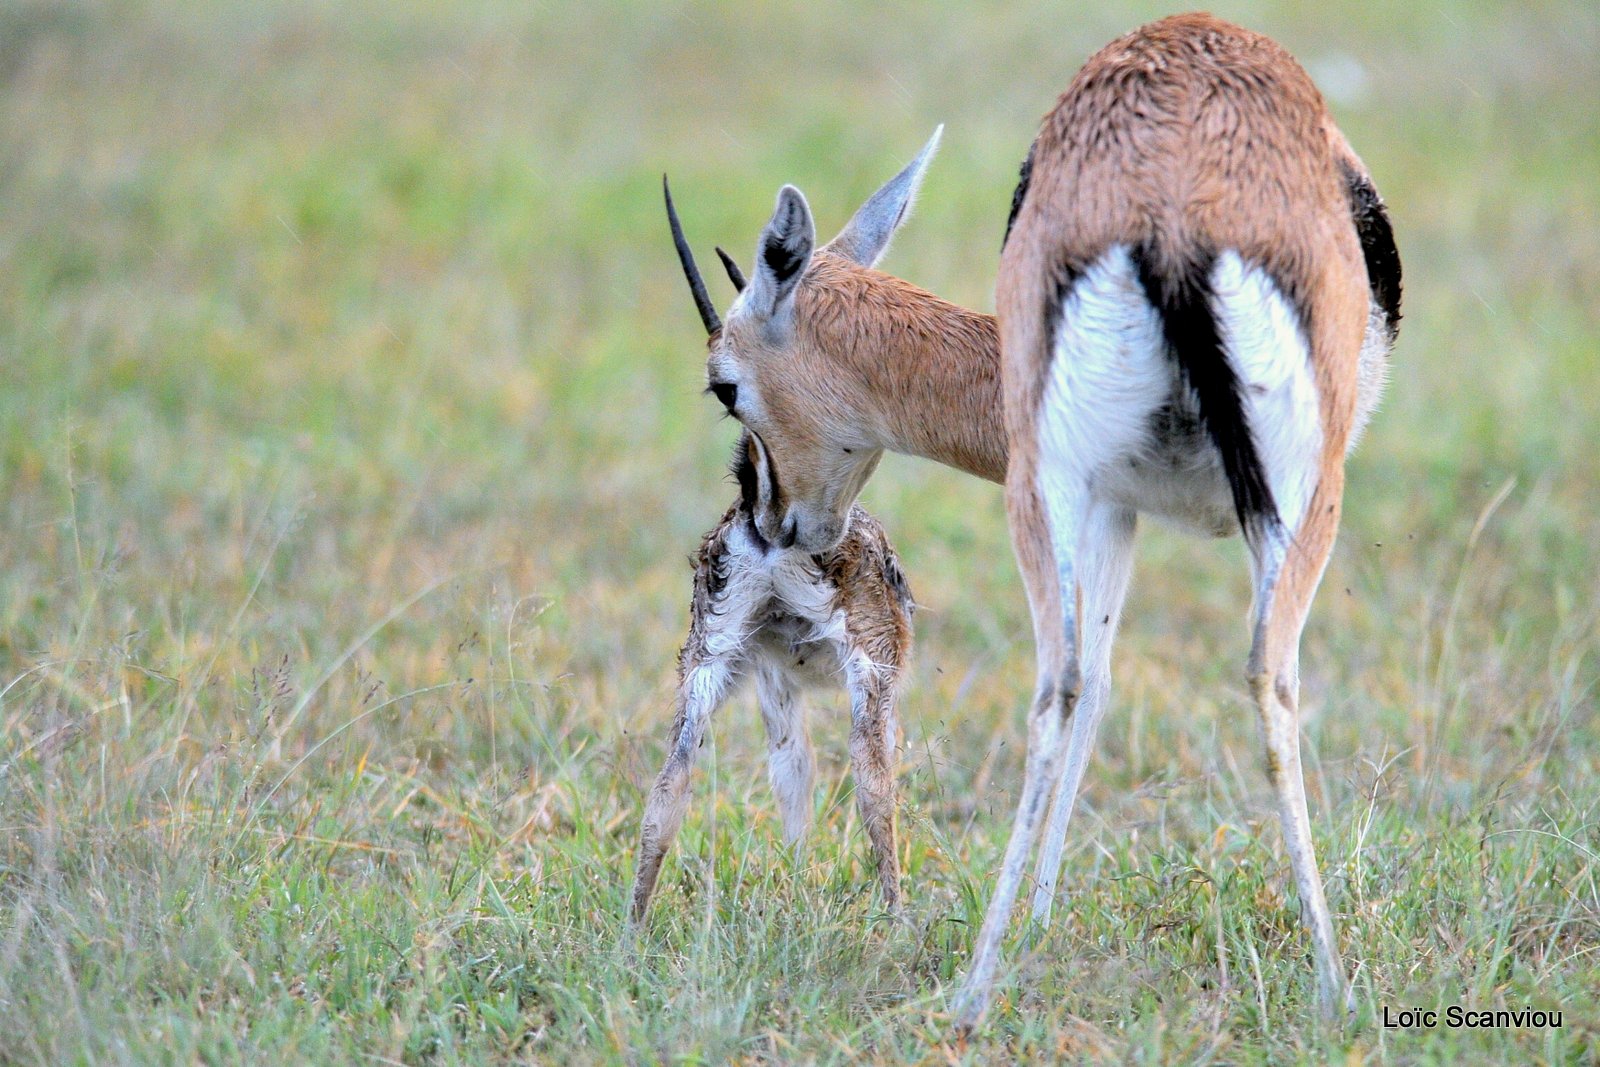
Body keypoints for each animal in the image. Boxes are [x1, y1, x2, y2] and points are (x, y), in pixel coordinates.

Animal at [630, 428, 921, 921]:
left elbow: (791, 767)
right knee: (871, 777)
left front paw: (799, 883)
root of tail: (765, 529)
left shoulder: (772, 674)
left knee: (669, 782)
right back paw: (899, 918)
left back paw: (632, 928)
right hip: (872, 659)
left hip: (707, 652)